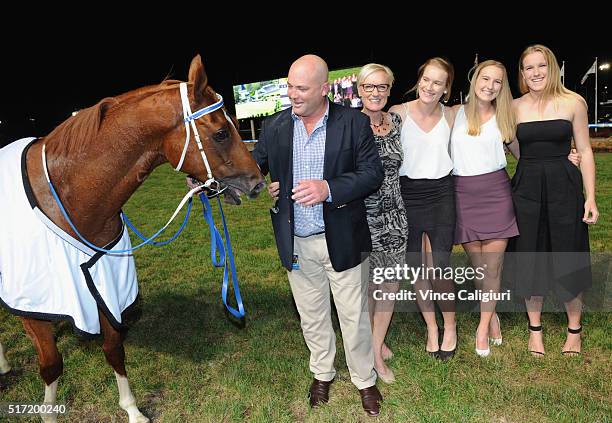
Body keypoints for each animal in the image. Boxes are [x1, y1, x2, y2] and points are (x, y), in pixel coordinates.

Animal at [0, 55, 262, 420]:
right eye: (222, 133)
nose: (258, 182)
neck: (70, 194)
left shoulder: (105, 285)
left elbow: (114, 349)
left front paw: (132, 409)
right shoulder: (35, 305)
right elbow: (51, 365)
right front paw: (48, 413)